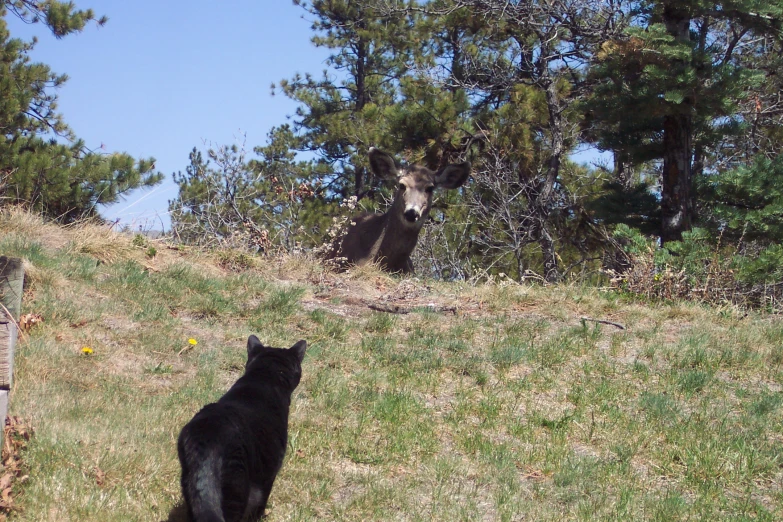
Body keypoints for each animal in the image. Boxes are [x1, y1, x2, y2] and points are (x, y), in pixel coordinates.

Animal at [178, 336, 306, 516]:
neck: (264, 377)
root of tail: (206, 439)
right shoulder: (268, 473)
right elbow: (261, 501)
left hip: (188, 482)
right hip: (237, 486)